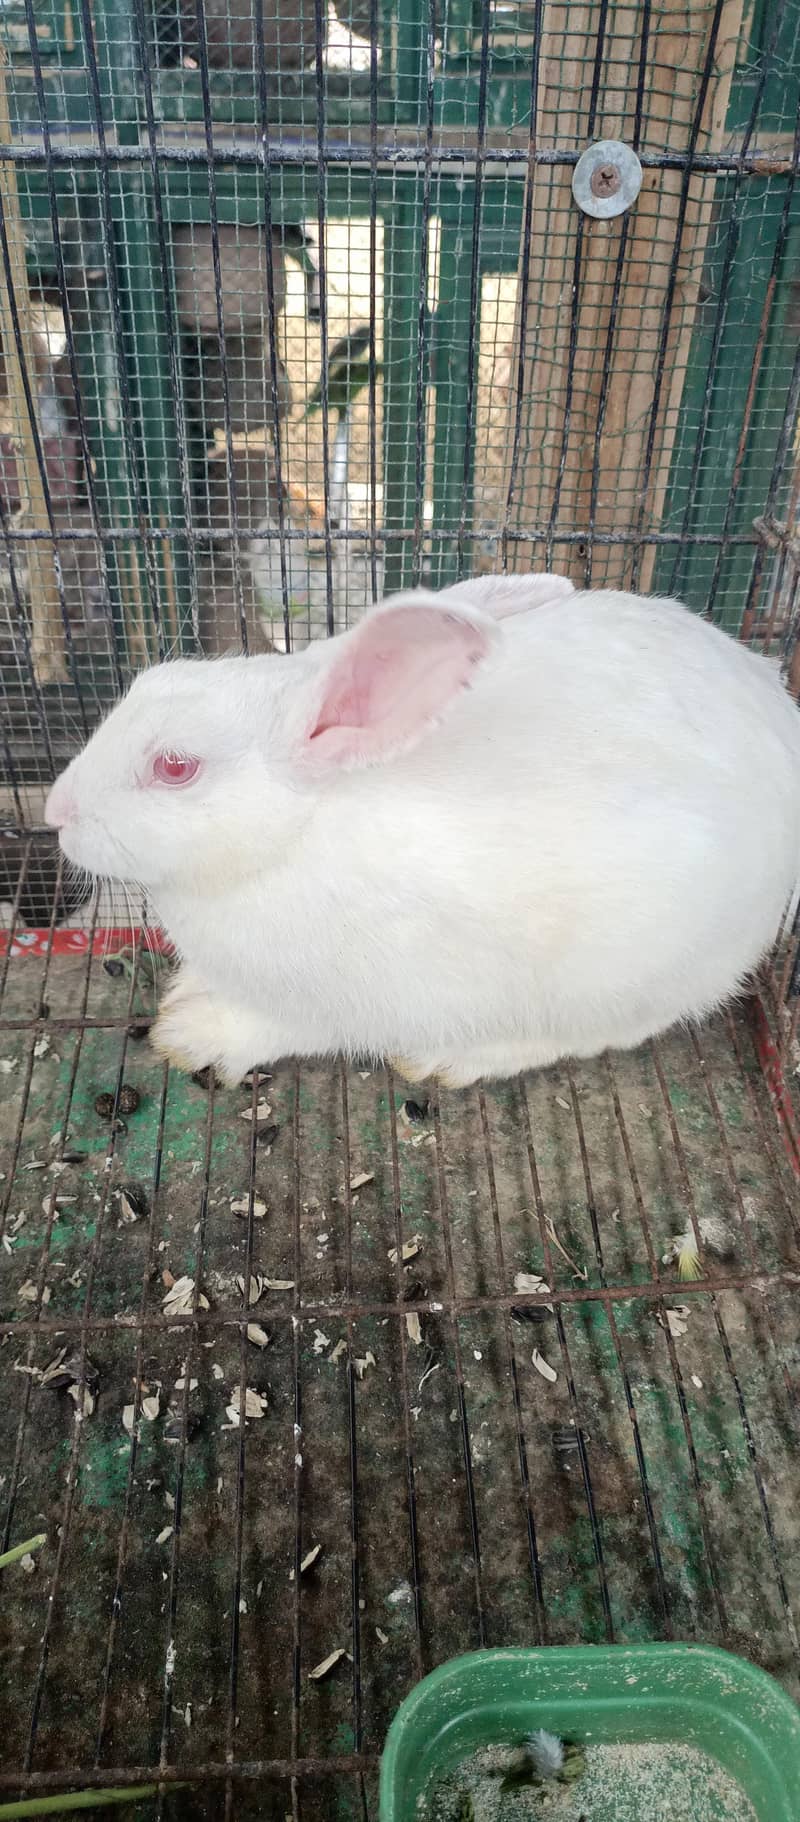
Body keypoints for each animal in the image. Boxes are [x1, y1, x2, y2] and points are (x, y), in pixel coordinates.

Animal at [44, 576, 800, 1090]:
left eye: (175, 767)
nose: (55, 812)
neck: (292, 838)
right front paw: (186, 996)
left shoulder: (343, 1003)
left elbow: (276, 1027)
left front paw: (192, 1032)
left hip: (634, 971)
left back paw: (454, 1060)